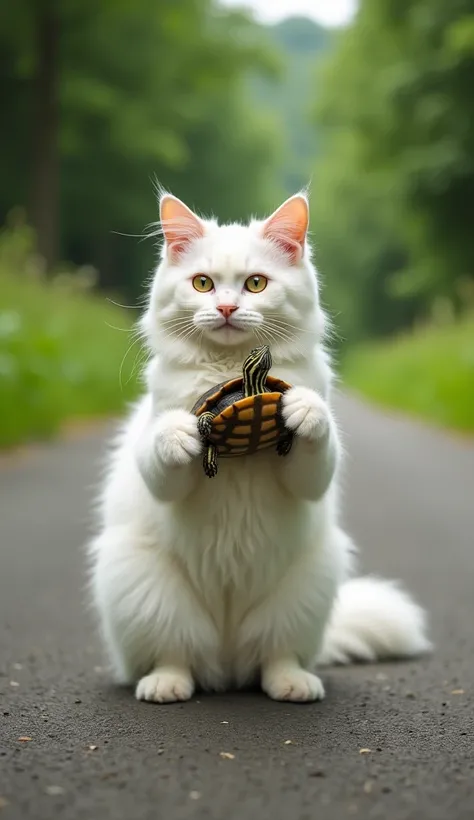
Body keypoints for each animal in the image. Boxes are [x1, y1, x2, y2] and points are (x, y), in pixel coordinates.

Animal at [88, 192, 430, 704]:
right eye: (203, 284)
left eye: (255, 284)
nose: (228, 308)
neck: (234, 372)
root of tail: (226, 669)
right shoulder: (159, 464)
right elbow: (167, 449)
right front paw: (183, 433)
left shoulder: (310, 476)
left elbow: (314, 436)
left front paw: (302, 409)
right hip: (148, 594)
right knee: (175, 655)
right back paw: (166, 685)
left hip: (304, 594)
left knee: (274, 657)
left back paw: (293, 684)